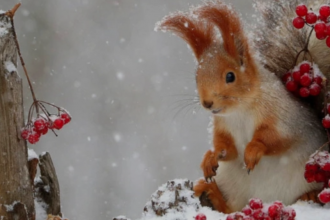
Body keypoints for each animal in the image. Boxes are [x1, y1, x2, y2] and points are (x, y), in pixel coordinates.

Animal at [157, 0, 328, 213]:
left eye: (230, 76)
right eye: (197, 77)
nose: (207, 103)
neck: (239, 112)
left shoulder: (284, 118)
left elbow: (275, 139)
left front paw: (253, 149)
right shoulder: (224, 127)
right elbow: (228, 149)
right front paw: (211, 157)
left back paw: (310, 194)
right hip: (232, 185)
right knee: (230, 209)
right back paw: (211, 192)